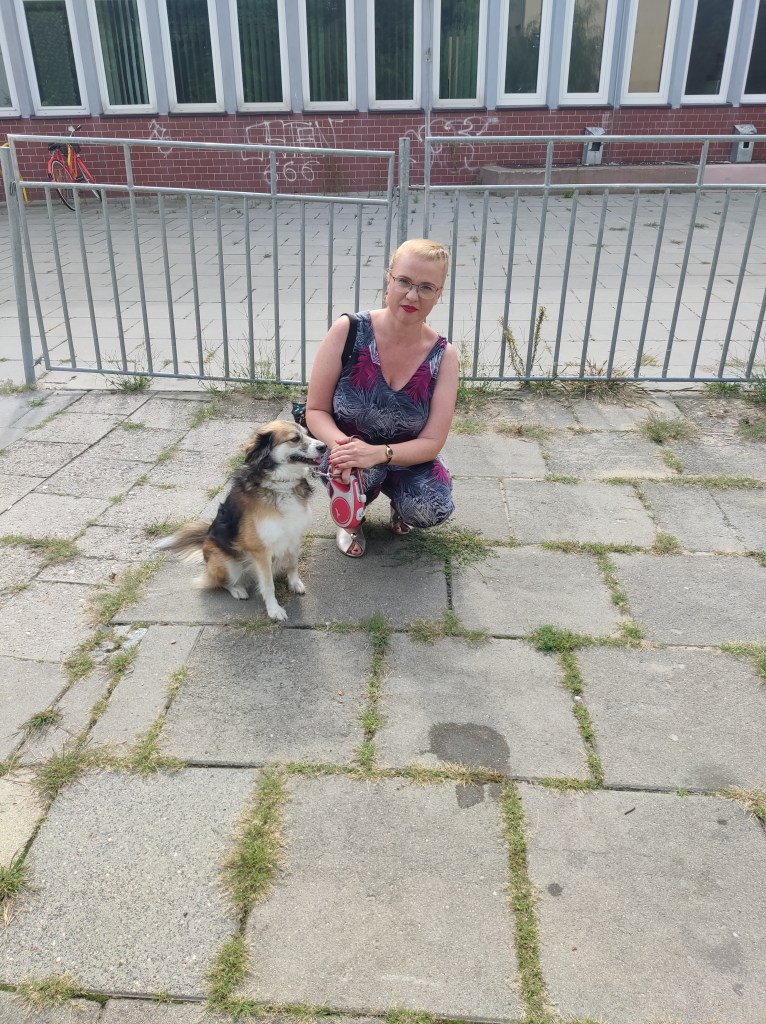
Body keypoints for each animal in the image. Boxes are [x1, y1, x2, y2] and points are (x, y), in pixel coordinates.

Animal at [156, 420, 326, 620]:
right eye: (295, 438)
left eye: (307, 433)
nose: (324, 447)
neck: (280, 484)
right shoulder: (260, 550)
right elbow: (268, 585)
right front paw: (274, 610)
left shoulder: (293, 535)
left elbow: (293, 564)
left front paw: (294, 583)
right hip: (228, 564)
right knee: (221, 583)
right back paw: (237, 590)